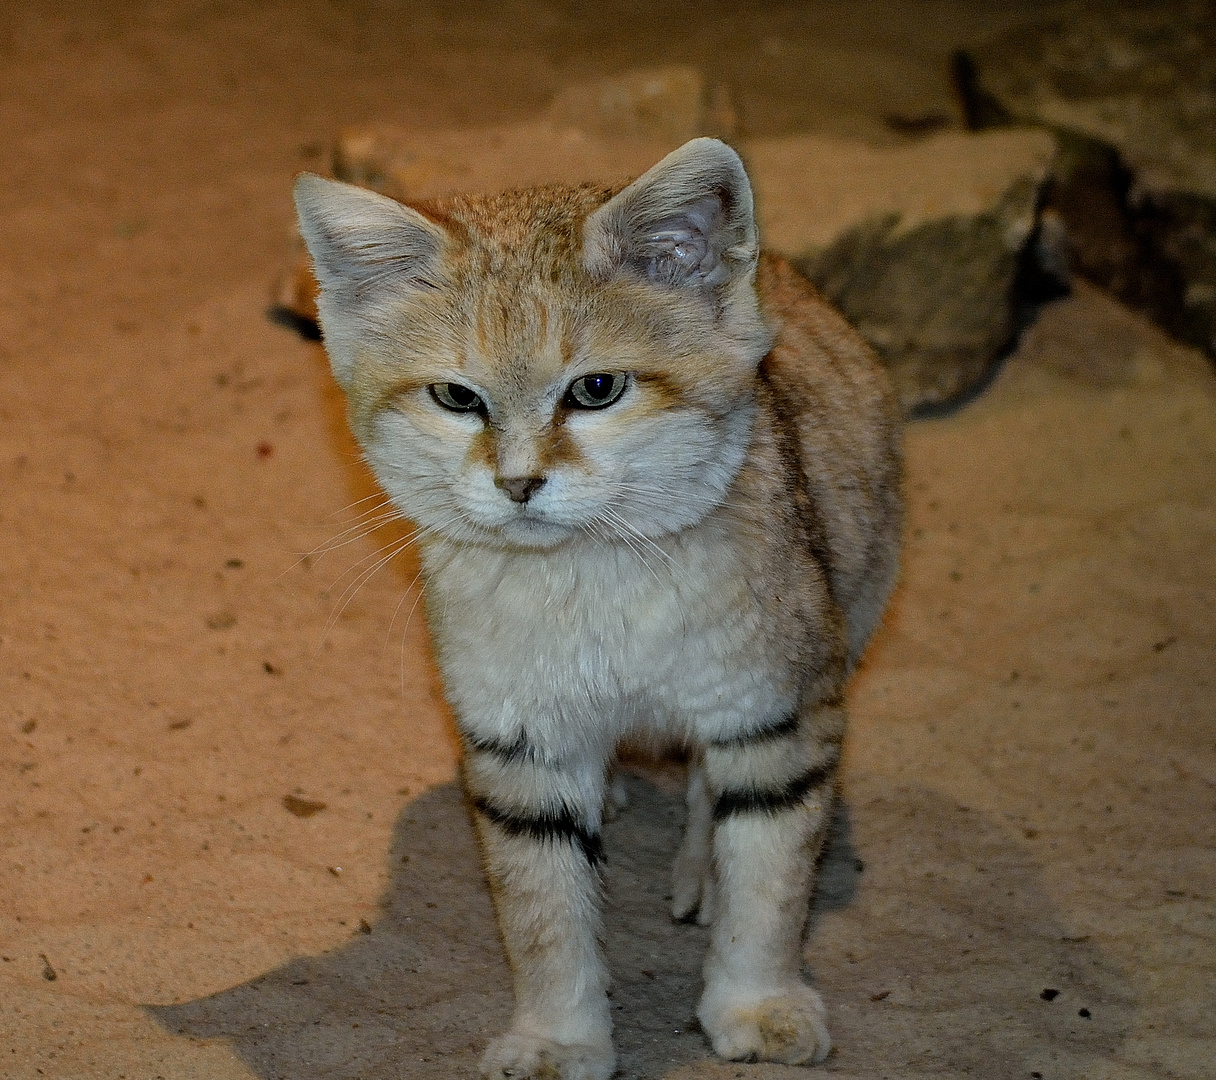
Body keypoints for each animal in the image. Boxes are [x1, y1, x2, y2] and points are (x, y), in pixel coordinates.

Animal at [294, 139, 904, 1075]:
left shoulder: (778, 715)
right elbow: (545, 918)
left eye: (597, 390)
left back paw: (697, 866)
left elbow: (769, 887)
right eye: (457, 398)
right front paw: (558, 1037)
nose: (517, 484)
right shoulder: (520, 749)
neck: (586, 574)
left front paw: (757, 1003)